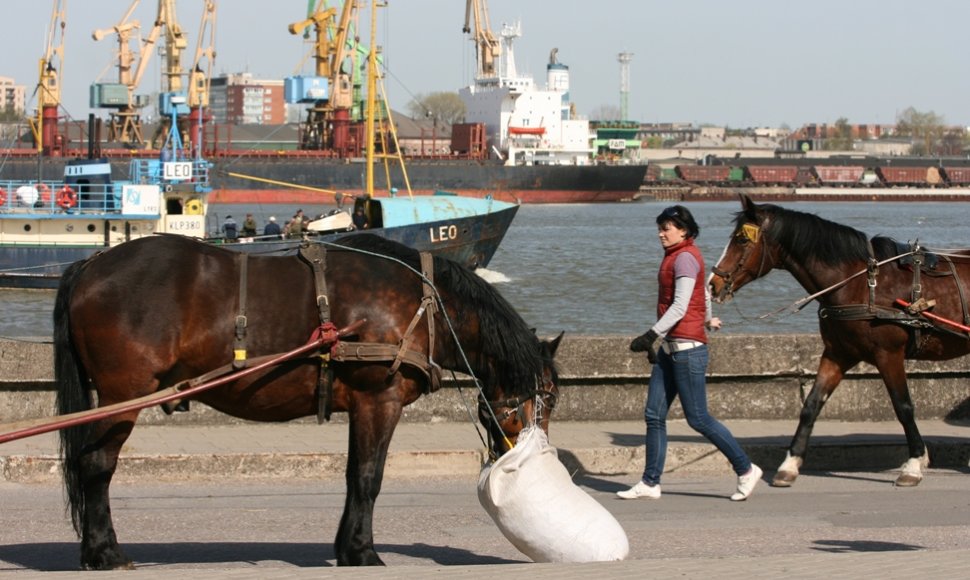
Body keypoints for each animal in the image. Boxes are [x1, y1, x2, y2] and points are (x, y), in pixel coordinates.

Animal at [53, 233, 564, 568]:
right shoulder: (380, 399)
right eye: (552, 397)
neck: (425, 303)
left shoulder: (363, 404)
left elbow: (353, 475)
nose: (532, 450)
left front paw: (347, 546)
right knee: (96, 466)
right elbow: (368, 478)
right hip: (123, 395)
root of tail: (90, 265)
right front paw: (363, 551)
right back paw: (104, 552)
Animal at [704, 196, 968, 490]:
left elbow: (903, 407)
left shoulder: (889, 354)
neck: (860, 283)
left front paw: (913, 464)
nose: (713, 284)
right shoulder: (837, 354)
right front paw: (789, 465)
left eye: (741, 239)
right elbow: (811, 405)